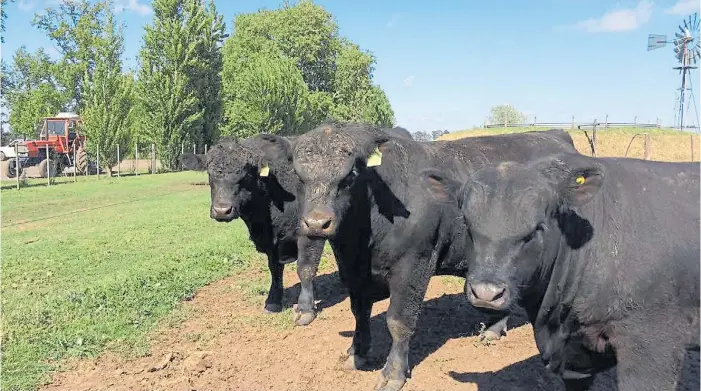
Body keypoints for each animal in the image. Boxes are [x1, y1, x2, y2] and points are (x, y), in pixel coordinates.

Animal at [179, 133, 324, 326]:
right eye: (210, 174)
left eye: (246, 175)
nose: (222, 210)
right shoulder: (271, 243)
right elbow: (275, 270)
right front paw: (273, 302)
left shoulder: (311, 232)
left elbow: (305, 269)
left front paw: (305, 309)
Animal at [290, 123, 580, 391]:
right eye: (299, 177)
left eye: (349, 176)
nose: (317, 223)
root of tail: (556, 135)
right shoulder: (354, 272)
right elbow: (359, 312)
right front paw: (357, 353)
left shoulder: (414, 264)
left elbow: (398, 321)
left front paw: (393, 374)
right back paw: (493, 330)